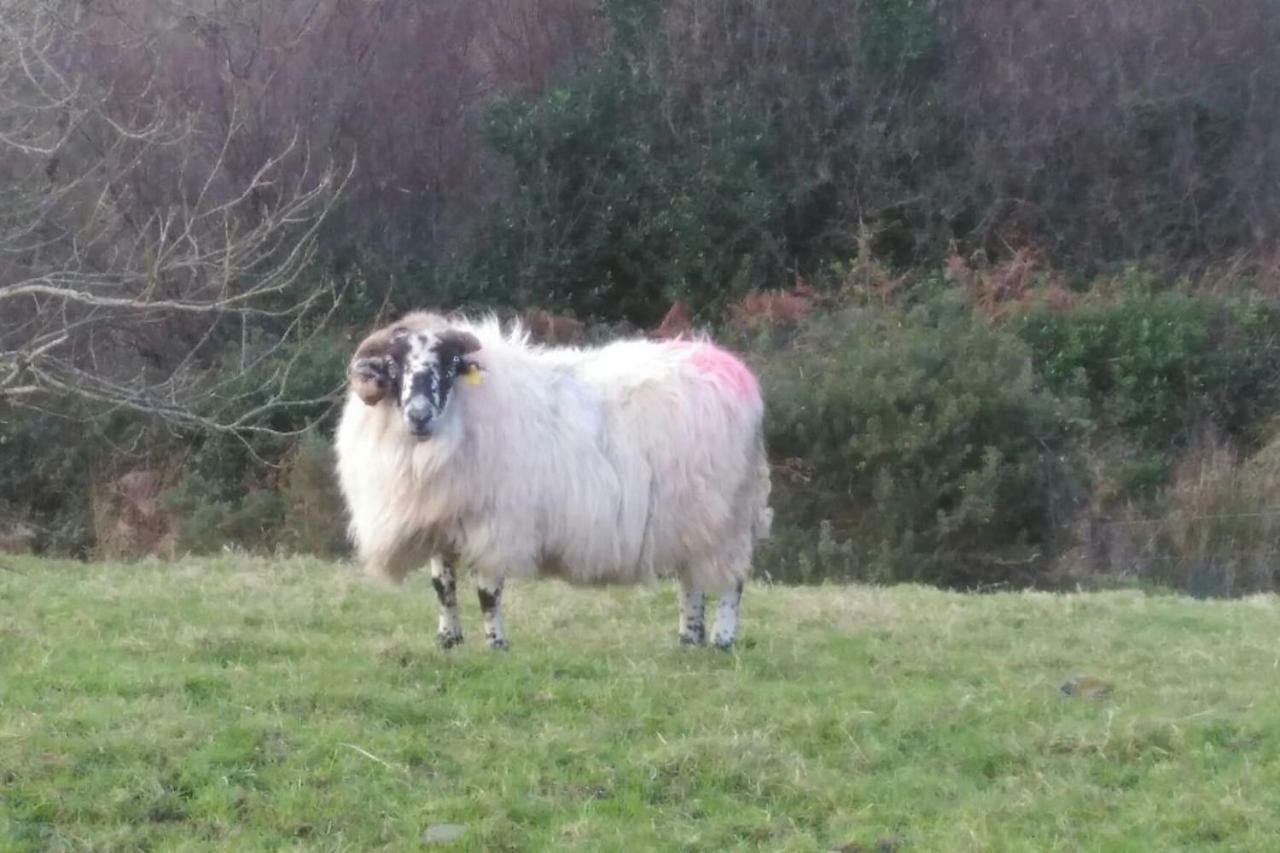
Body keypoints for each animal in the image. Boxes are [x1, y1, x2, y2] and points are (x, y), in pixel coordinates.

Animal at [332, 308, 768, 648]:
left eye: (450, 365)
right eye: (393, 365)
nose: (419, 415)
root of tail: (733, 370)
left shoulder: (497, 524)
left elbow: (488, 592)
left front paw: (496, 644)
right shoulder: (441, 520)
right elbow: (443, 588)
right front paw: (448, 640)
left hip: (728, 517)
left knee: (731, 582)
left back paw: (722, 640)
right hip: (691, 520)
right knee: (690, 581)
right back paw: (688, 638)